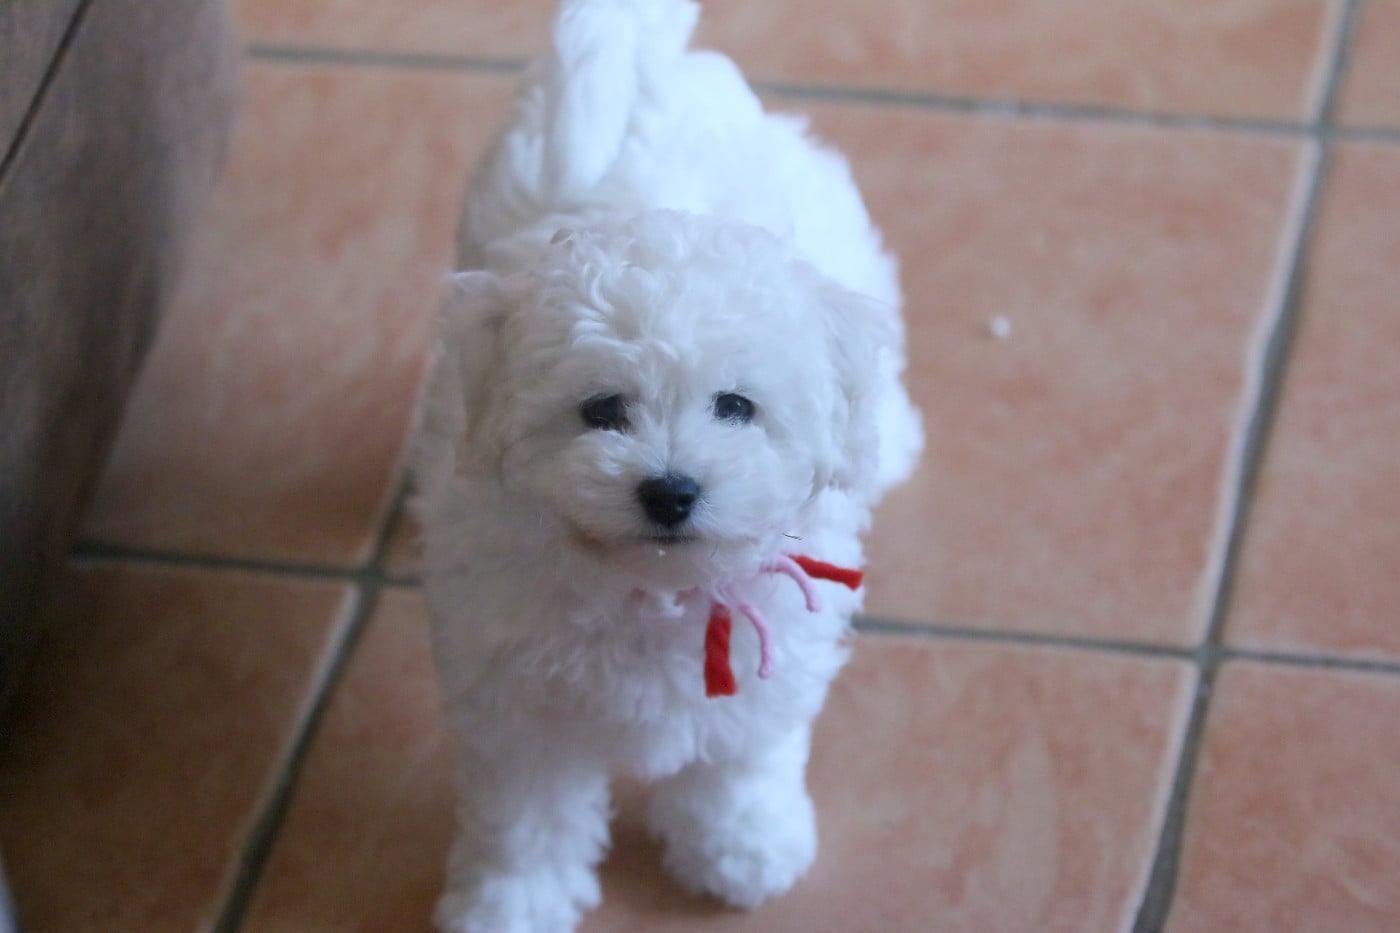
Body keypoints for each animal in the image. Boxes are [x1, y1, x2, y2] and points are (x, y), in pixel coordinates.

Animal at [412, 1, 922, 929]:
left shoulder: (764, 669)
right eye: (601, 410)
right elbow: (527, 811)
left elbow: (742, 758)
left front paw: (742, 846)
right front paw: (512, 898)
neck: (657, 590)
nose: (671, 490)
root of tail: (649, 66)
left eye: (737, 407)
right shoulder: (514, 702)